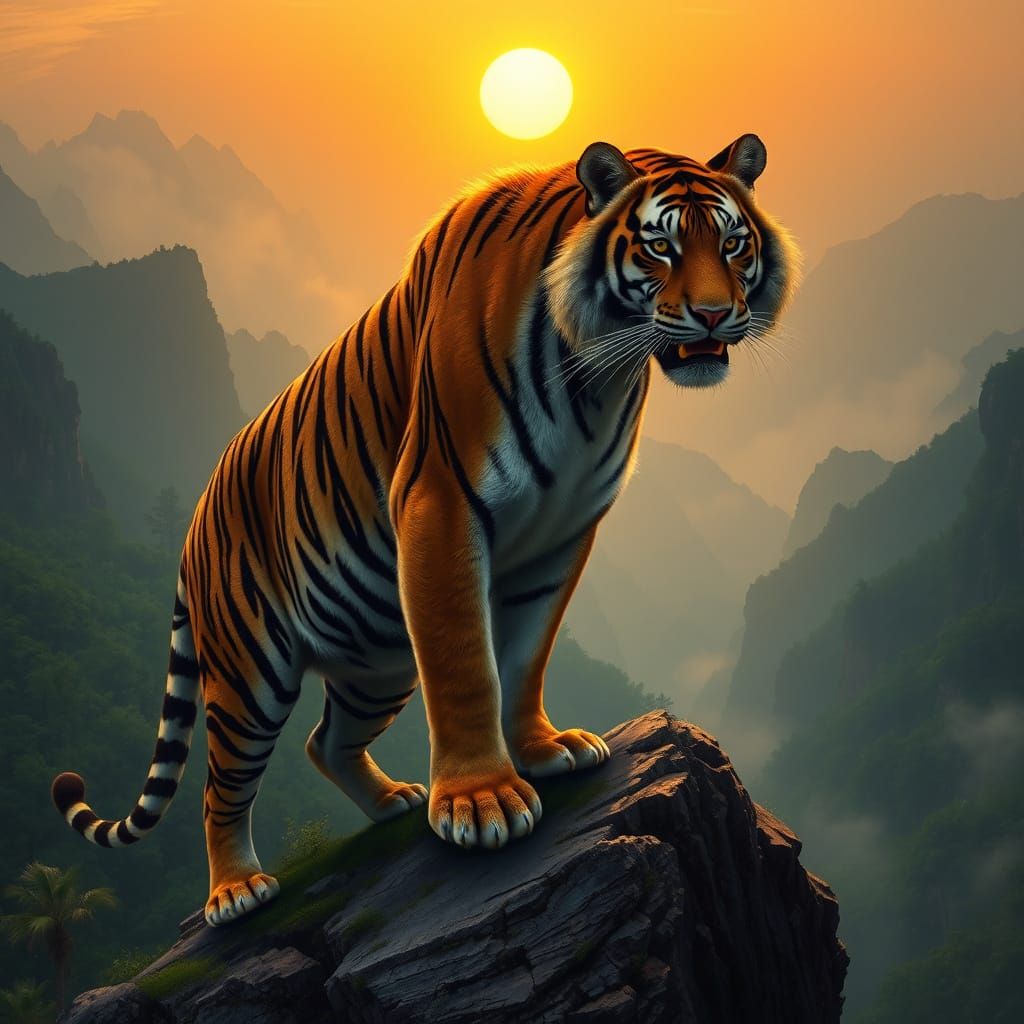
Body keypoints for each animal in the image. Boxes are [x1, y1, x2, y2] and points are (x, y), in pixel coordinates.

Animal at [52, 134, 798, 927]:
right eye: (660, 246)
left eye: (733, 243)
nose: (716, 315)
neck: (595, 378)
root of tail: (193, 522)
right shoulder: (440, 504)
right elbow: (466, 661)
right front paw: (481, 801)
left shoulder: (560, 536)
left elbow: (525, 656)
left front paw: (544, 749)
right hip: (250, 672)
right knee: (219, 783)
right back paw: (236, 891)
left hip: (374, 660)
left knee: (324, 741)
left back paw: (392, 802)